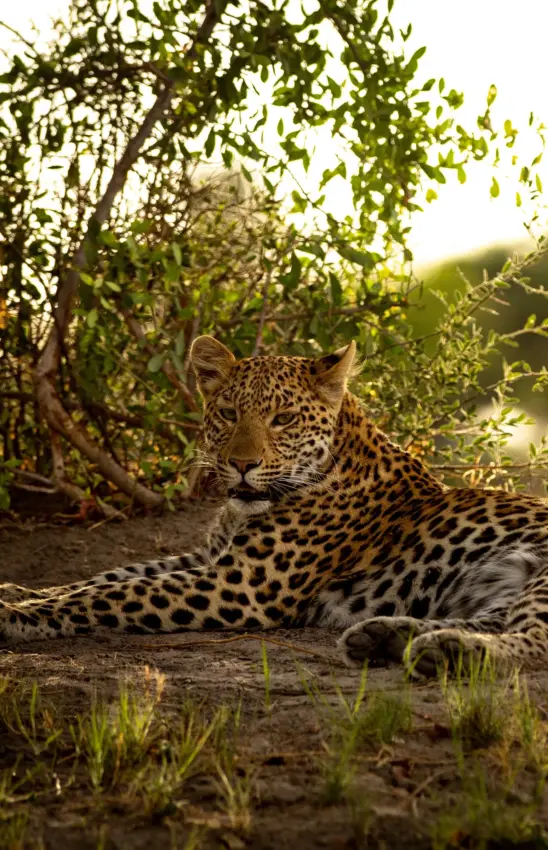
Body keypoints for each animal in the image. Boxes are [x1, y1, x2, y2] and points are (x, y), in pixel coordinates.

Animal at [1, 334, 548, 678]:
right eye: (227, 413)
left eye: (283, 419)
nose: (242, 465)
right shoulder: (209, 557)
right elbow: (105, 576)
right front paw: (18, 590)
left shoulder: (239, 584)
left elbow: (110, 594)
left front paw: (15, 614)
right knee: (494, 622)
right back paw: (389, 639)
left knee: (535, 643)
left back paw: (447, 652)